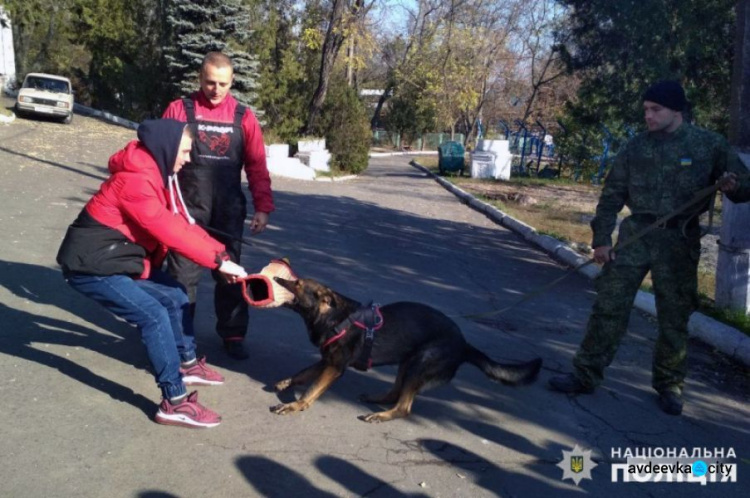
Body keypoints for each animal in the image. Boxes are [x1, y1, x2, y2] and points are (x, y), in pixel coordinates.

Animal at [274, 278, 544, 422]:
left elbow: (311, 389)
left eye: (297, 283)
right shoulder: (325, 361)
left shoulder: (334, 367)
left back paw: (382, 415)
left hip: (419, 364)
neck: (334, 317)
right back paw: (377, 399)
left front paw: (295, 405)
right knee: (396, 392)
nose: (277, 279)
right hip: (407, 362)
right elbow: (302, 374)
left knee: (404, 407)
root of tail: (463, 343)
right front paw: (286, 383)